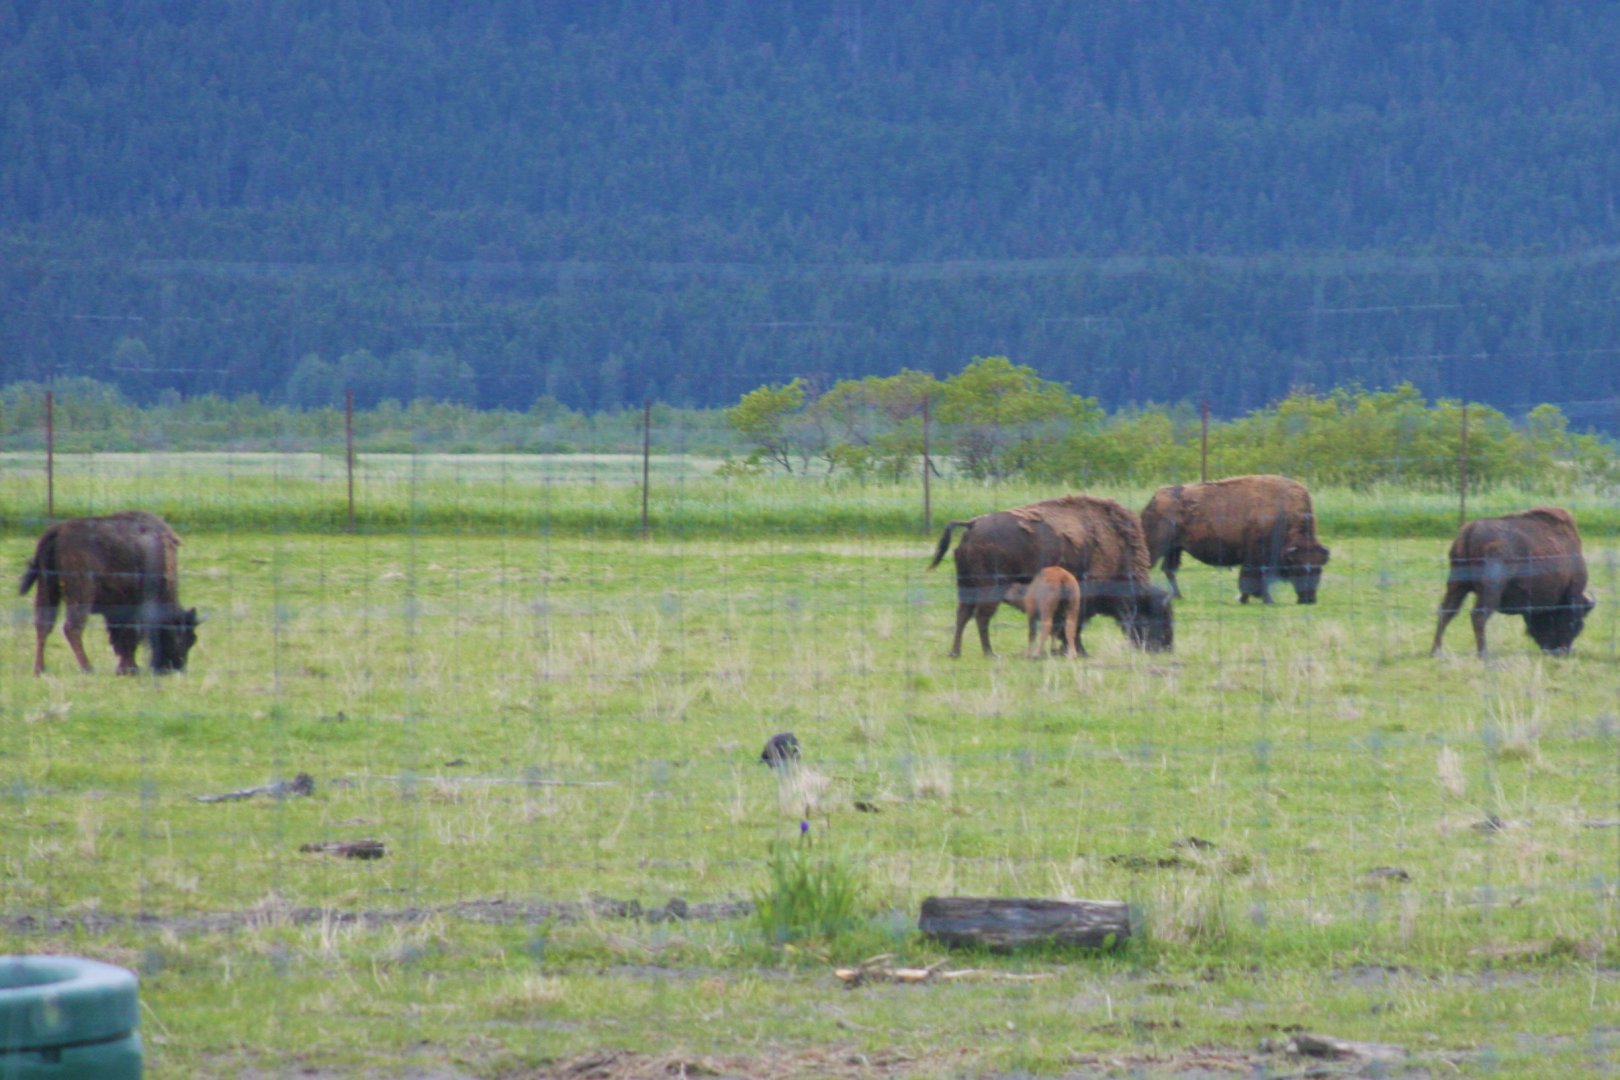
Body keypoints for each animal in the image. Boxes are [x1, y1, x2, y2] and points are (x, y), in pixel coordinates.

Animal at [19, 511, 199, 675]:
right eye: (183, 639)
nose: (175, 667)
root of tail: (58, 530)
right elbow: (130, 635)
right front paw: (130, 669)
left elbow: (121, 635)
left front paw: (126, 668)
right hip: (81, 593)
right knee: (72, 628)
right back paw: (88, 668)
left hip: (47, 589)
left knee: (43, 625)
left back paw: (40, 670)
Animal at [928, 494, 1173, 656]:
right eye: (1153, 617)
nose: (1165, 647)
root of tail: (972, 525)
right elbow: (1073, 626)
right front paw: (1078, 651)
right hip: (991, 589)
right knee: (981, 617)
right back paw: (989, 653)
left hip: (967, 586)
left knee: (963, 615)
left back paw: (956, 652)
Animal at [1141, 475, 1330, 604]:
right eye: (1298, 569)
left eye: (1319, 569)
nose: (1309, 599)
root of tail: (1154, 499)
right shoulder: (1257, 557)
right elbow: (1254, 578)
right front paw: (1265, 599)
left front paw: (1246, 599)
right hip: (1156, 546)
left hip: (1175, 549)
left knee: (1169, 570)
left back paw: (1178, 596)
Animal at [1431, 507, 1595, 657]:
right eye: (1577, 624)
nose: (1562, 651)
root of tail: (1470, 531)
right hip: (1490, 590)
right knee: (1478, 616)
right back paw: (1483, 654)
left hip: (1457, 586)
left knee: (1446, 612)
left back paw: (1435, 652)